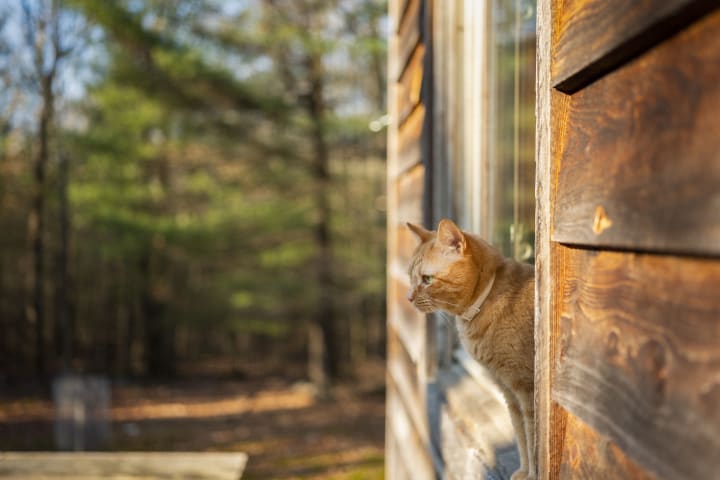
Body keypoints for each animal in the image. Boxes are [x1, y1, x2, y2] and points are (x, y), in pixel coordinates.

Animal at [404, 219, 536, 478]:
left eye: (427, 279)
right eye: (411, 277)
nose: (409, 298)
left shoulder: (527, 390)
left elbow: (533, 439)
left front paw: (534, 474)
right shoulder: (509, 391)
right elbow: (522, 436)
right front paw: (524, 472)